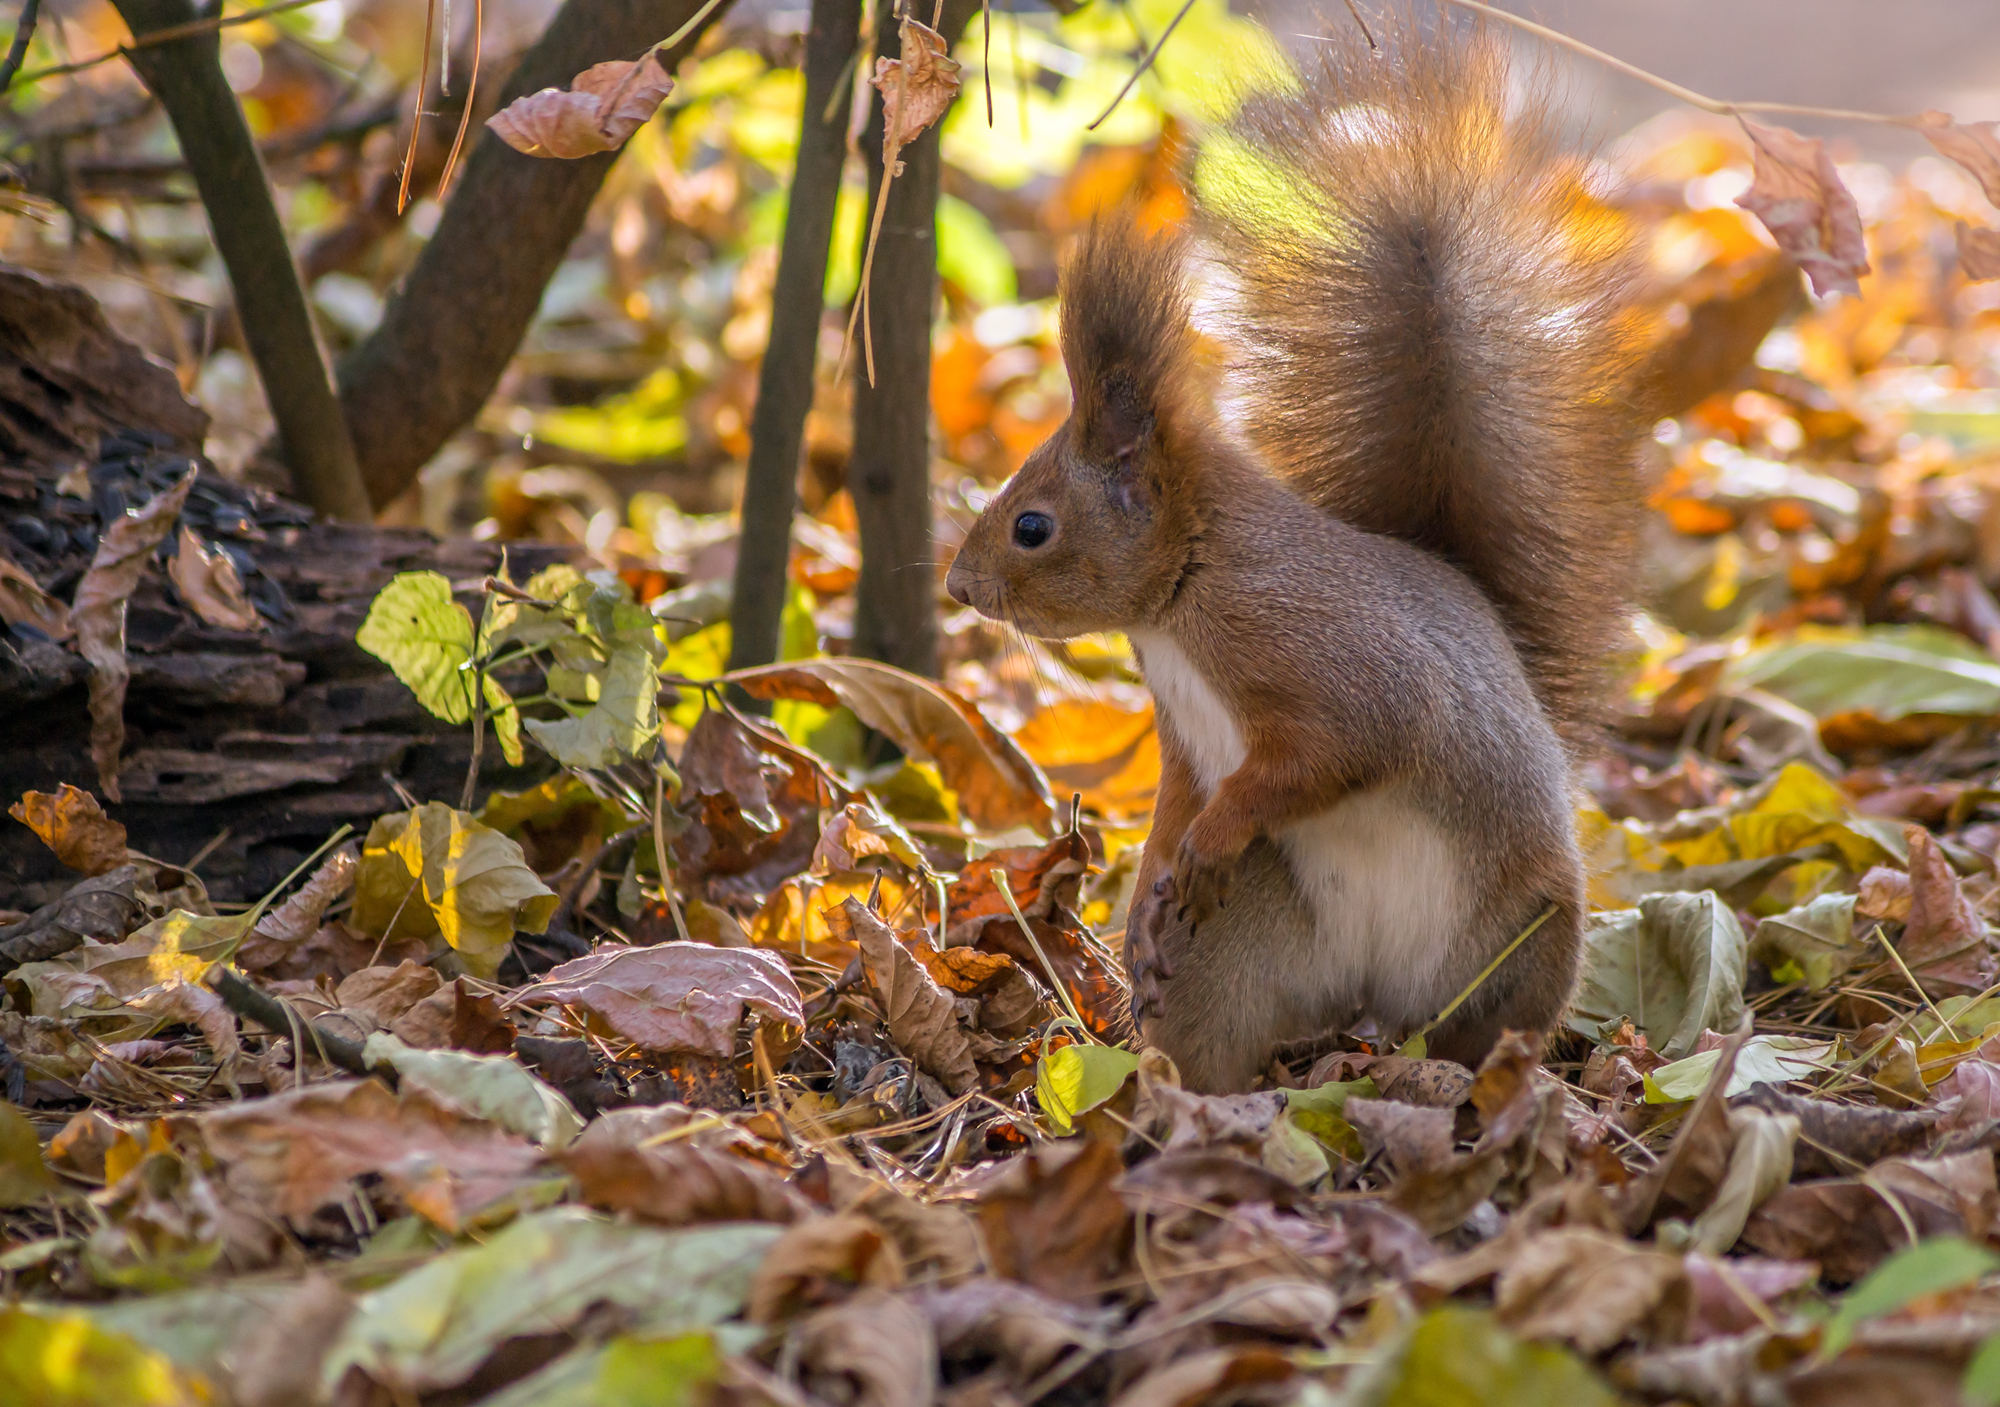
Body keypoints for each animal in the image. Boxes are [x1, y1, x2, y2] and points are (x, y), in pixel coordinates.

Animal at [944, 24, 1648, 1103]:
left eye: (1032, 526)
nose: (958, 587)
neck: (1185, 592)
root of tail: (1367, 996)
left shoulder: (1319, 650)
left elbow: (1340, 748)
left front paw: (1210, 839)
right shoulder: (1185, 735)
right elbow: (1176, 800)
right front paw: (1149, 887)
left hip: (1518, 942)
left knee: (1479, 1026)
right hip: (1245, 943)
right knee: (1216, 1019)